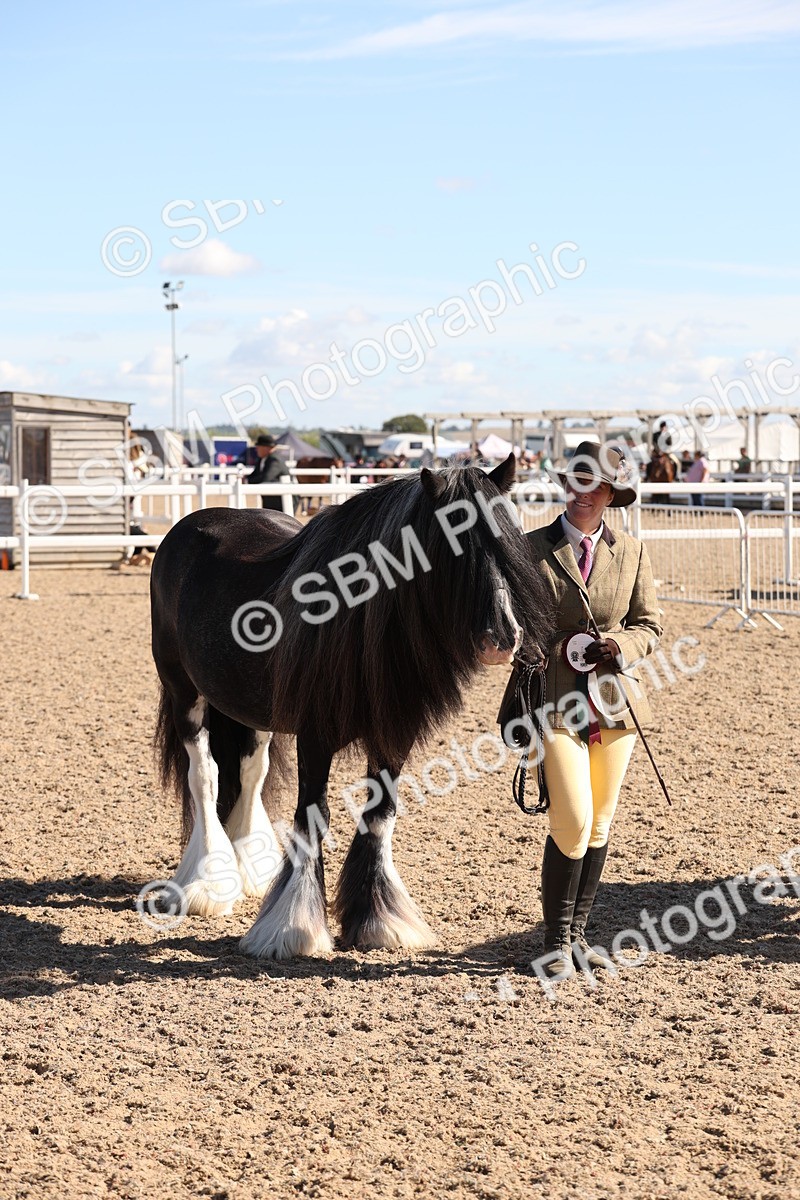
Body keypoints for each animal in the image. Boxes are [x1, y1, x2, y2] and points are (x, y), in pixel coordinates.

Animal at [150, 453, 553, 960]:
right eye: (450, 542)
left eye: (507, 536)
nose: (503, 637)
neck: (358, 616)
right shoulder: (315, 736)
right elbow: (312, 817)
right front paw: (293, 927)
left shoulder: (394, 734)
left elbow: (380, 815)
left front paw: (380, 921)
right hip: (184, 693)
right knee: (204, 774)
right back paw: (207, 884)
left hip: (251, 710)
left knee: (249, 772)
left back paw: (249, 870)